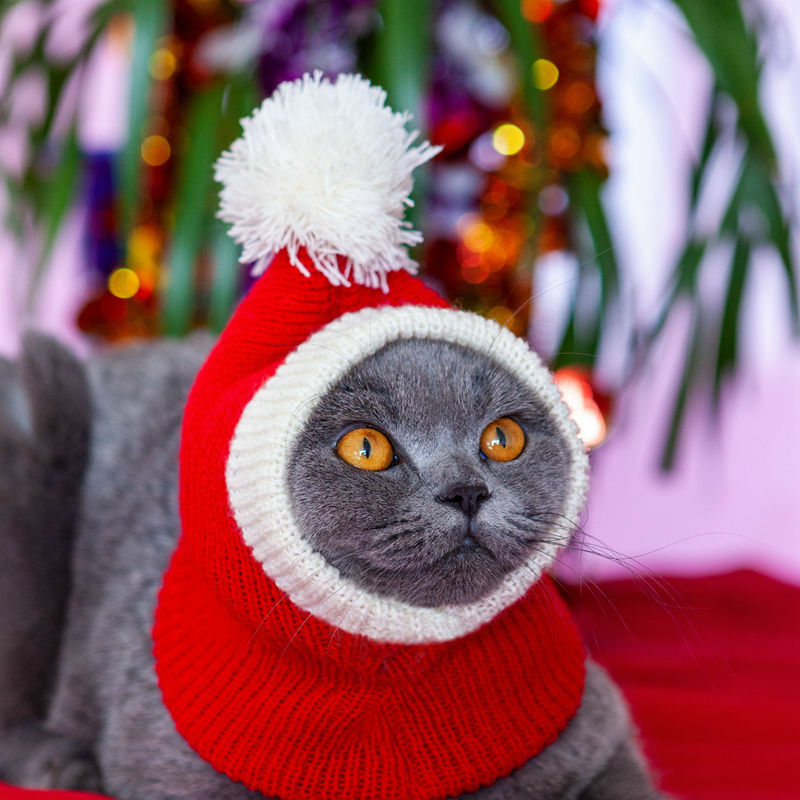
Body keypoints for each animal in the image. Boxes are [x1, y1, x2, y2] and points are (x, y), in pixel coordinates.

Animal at [0, 332, 664, 800]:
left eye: (503, 438)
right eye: (364, 447)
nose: (467, 491)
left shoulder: (596, 729)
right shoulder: (168, 763)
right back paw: (63, 765)